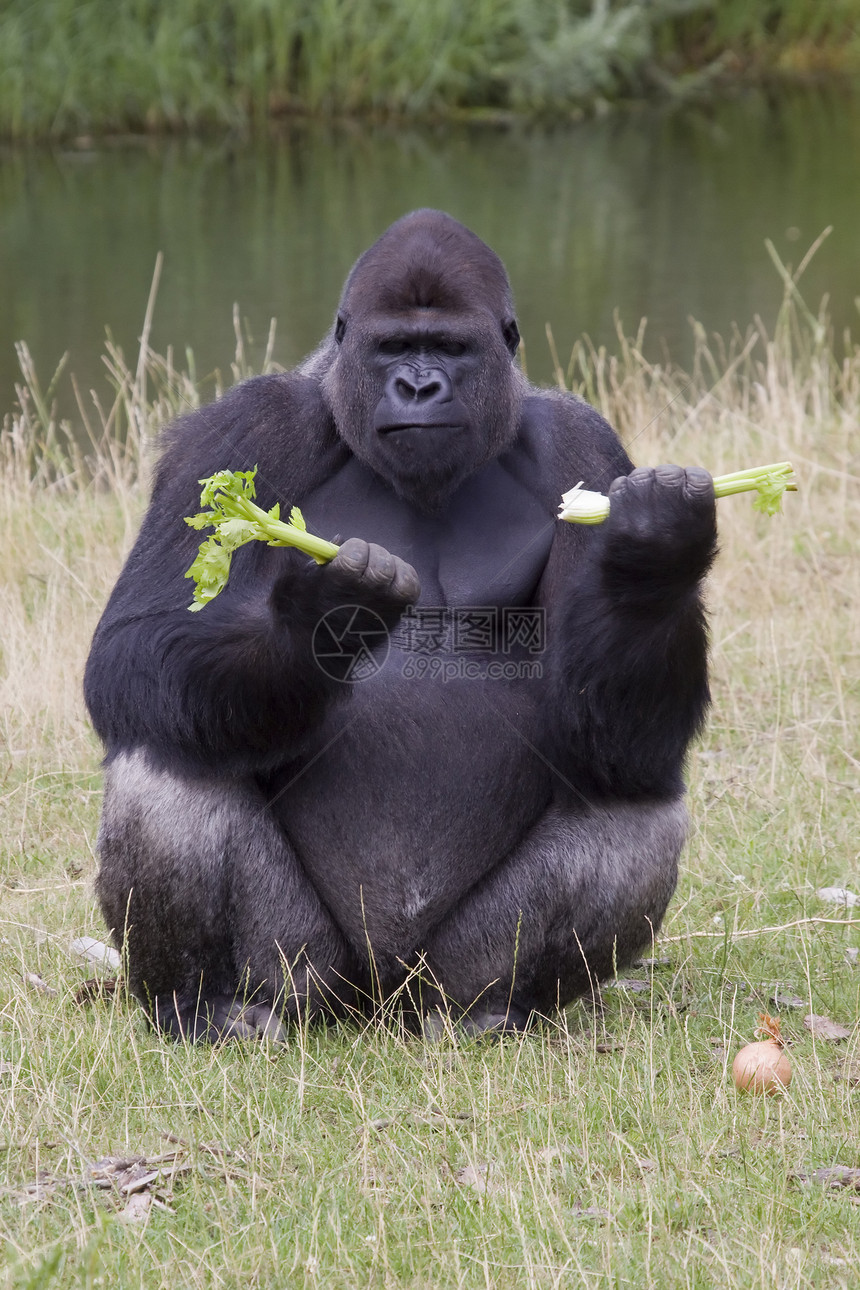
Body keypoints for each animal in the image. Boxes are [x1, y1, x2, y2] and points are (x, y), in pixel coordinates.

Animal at [83, 208, 716, 1037]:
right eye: (392, 348)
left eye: (449, 348)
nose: (419, 386)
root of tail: (382, 1004)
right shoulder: (243, 427)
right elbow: (131, 648)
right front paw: (315, 622)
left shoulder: (586, 447)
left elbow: (605, 735)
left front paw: (653, 560)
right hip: (313, 974)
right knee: (167, 750)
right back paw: (218, 1002)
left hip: (447, 977)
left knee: (634, 795)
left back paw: (499, 1011)